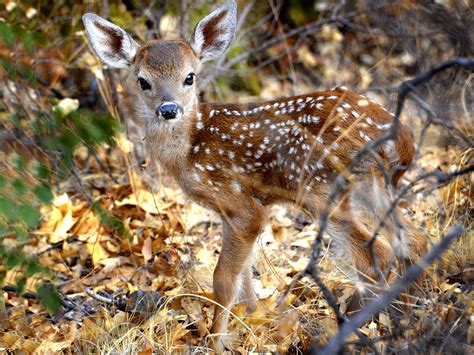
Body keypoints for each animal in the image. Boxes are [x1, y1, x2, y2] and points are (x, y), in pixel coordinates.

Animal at [83, 1, 428, 354]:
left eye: (189, 77)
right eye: (142, 81)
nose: (168, 109)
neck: (191, 147)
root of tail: (401, 135)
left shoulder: (238, 202)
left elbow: (223, 279)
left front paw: (215, 342)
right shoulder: (232, 211)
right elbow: (246, 278)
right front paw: (254, 324)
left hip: (319, 186)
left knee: (376, 253)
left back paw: (354, 325)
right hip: (374, 186)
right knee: (412, 239)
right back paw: (411, 309)